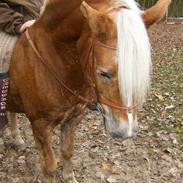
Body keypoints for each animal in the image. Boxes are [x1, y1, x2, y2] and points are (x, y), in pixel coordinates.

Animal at [6, 0, 172, 183]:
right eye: (104, 73)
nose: (125, 132)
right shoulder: (40, 125)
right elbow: (49, 167)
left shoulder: (73, 117)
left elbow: (67, 151)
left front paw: (69, 177)